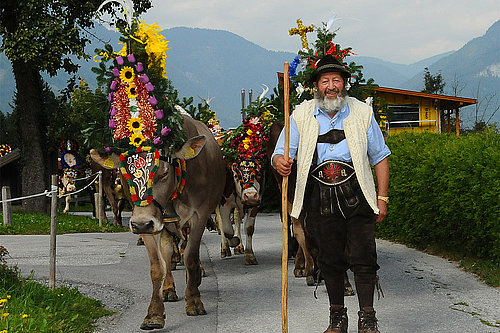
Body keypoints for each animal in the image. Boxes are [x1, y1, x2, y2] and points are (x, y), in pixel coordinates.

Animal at [92, 115, 227, 330]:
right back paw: (169, 288)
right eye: (123, 173)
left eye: (163, 172)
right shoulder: (149, 224)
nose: (140, 224)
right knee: (167, 252)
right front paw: (154, 314)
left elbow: (190, 257)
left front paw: (194, 301)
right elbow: (157, 266)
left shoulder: (200, 215)